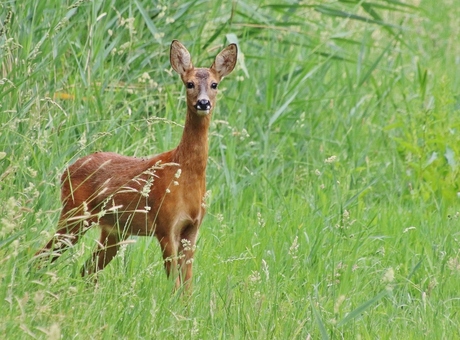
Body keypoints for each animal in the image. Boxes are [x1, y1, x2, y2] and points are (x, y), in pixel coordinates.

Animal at [35, 39, 237, 290]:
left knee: (87, 270)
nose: (203, 102)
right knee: (42, 256)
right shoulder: (165, 225)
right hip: (75, 213)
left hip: (113, 229)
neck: (185, 174)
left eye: (214, 84)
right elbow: (174, 284)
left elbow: (187, 286)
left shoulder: (192, 229)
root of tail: (66, 170)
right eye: (189, 83)